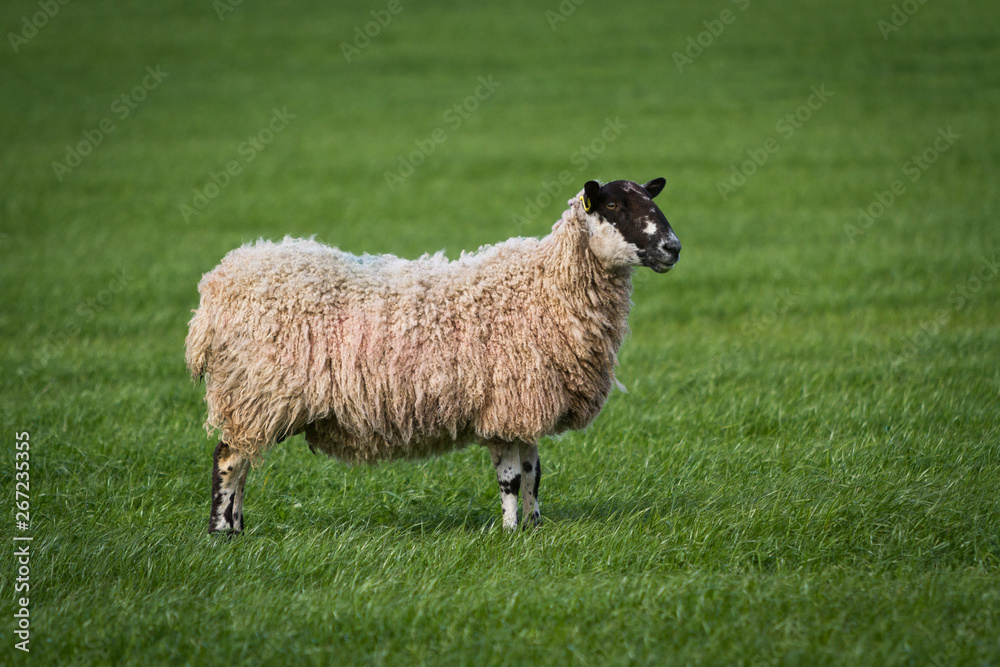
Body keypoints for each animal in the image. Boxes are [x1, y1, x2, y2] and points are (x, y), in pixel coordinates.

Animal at [186, 178, 681, 533]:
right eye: (613, 208)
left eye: (649, 200)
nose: (673, 248)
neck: (545, 285)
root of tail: (216, 287)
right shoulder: (504, 404)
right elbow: (510, 478)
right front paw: (509, 533)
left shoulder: (524, 402)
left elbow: (534, 472)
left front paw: (536, 527)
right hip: (257, 392)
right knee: (228, 461)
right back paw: (223, 532)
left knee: (239, 461)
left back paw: (238, 528)